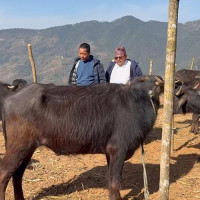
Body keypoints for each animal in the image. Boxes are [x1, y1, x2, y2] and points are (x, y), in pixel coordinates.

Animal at [0, 77, 164, 200]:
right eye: (142, 81)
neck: (137, 103)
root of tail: (9, 99)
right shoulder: (118, 150)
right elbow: (115, 182)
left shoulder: (109, 153)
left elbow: (111, 180)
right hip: (18, 147)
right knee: (4, 173)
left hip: (28, 148)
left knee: (17, 174)